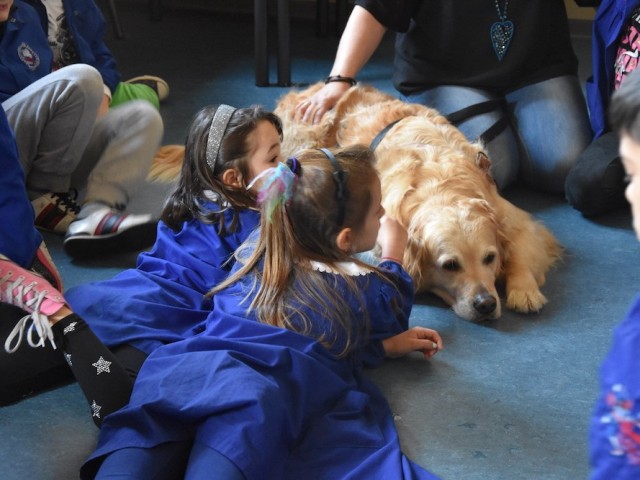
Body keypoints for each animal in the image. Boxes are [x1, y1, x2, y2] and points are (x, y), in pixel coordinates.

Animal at [276, 83, 560, 322]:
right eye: (450, 265)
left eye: (490, 258)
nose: (486, 304)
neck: (441, 187)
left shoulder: (509, 215)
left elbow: (520, 248)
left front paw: (525, 290)